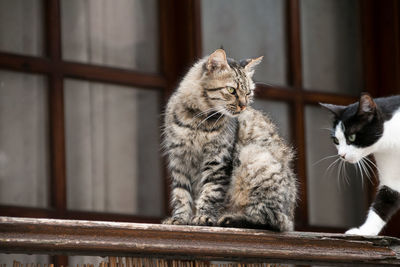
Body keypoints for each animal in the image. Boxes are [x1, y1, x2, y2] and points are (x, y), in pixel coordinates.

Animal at [162, 49, 296, 231]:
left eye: (248, 93)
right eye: (231, 90)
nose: (244, 105)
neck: (197, 122)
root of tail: (290, 215)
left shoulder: (218, 160)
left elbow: (210, 192)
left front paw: (203, 217)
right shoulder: (179, 161)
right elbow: (181, 195)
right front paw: (179, 219)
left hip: (255, 156)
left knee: (268, 220)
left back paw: (229, 219)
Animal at [320, 93, 400, 236]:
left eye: (352, 137)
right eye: (336, 140)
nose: (341, 155)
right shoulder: (391, 173)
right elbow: (385, 200)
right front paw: (364, 231)